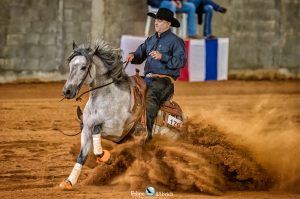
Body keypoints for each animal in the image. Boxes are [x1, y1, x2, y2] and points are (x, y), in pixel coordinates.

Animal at [59, 40, 133, 190]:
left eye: (84, 67)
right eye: (70, 65)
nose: (67, 91)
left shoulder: (117, 130)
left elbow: (98, 130)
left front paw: (107, 158)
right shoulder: (86, 130)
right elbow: (82, 156)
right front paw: (69, 182)